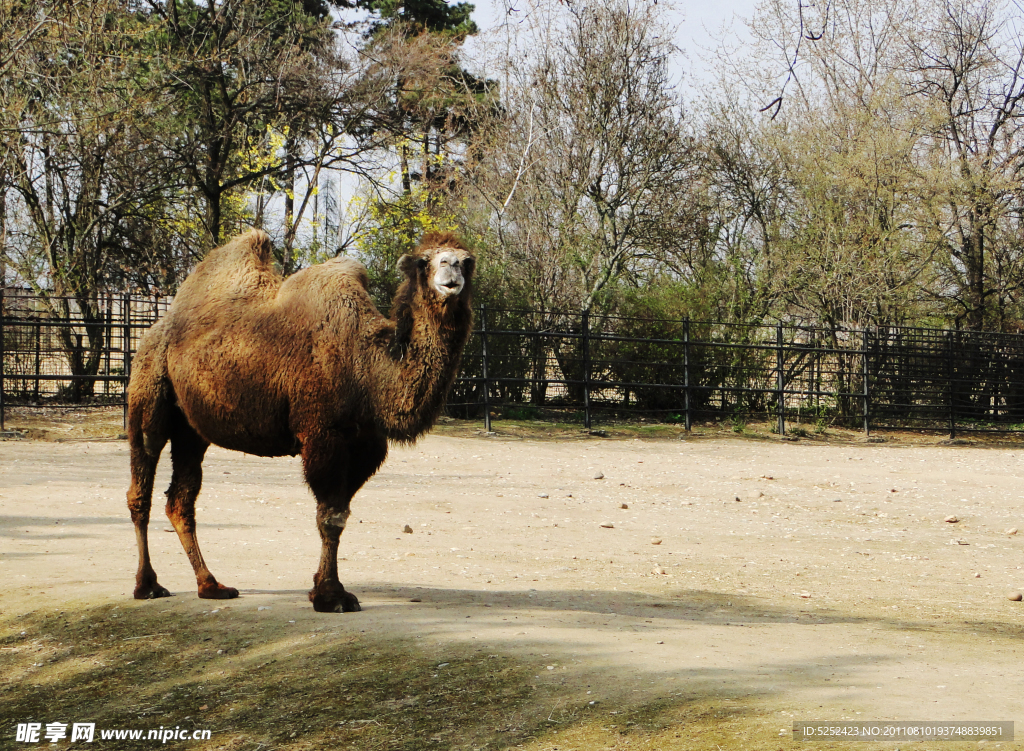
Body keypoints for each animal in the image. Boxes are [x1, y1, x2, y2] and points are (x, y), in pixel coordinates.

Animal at [126, 231, 475, 610]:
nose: (451, 268)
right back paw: (147, 585)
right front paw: (331, 596)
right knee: (141, 484)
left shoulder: (367, 445)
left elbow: (339, 513)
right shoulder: (322, 434)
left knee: (181, 498)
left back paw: (211, 585)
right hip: (148, 390)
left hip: (191, 428)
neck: (365, 365)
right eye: (424, 262)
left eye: (467, 260)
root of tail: (155, 329)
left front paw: (322, 587)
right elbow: (330, 516)